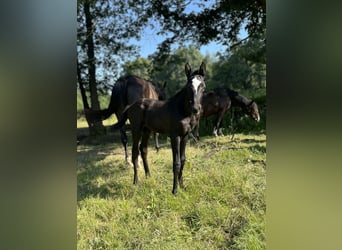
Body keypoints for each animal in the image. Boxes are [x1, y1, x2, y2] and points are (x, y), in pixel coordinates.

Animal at [112, 62, 206, 195]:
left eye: (203, 87)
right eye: (188, 87)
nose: (196, 109)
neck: (182, 110)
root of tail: (131, 105)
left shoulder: (185, 136)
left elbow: (183, 160)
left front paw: (182, 186)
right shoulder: (174, 136)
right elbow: (176, 162)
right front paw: (174, 190)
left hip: (147, 130)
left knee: (143, 149)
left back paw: (148, 176)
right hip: (136, 130)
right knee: (135, 152)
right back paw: (136, 181)